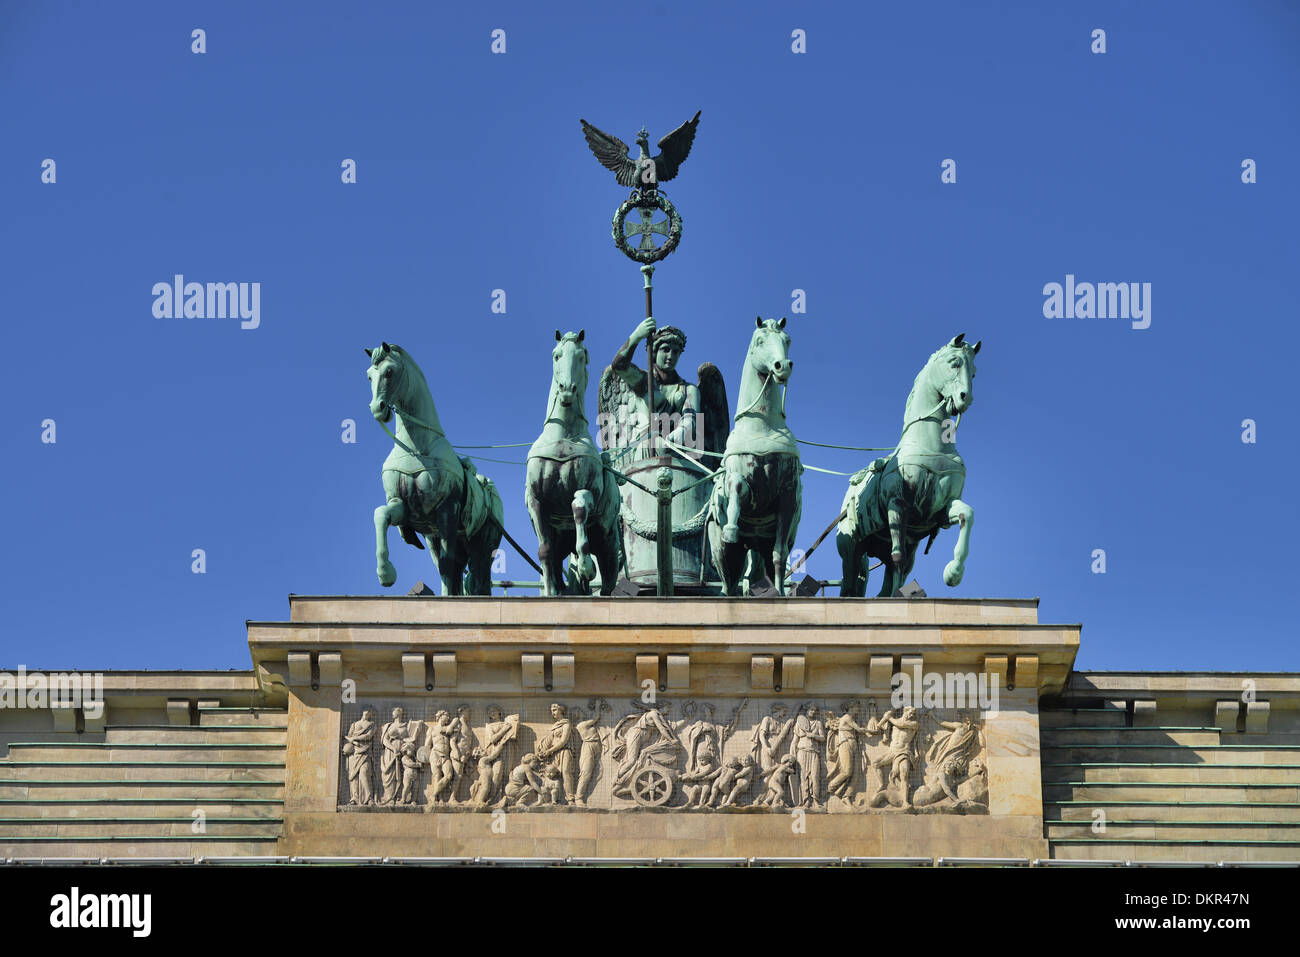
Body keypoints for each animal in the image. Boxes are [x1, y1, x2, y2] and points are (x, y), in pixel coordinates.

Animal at [371, 340, 506, 595]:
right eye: (368, 375)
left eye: (390, 371)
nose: (377, 408)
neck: (415, 448)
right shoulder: (403, 506)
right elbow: (381, 514)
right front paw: (386, 573)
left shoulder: (447, 511)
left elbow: (446, 566)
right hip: (443, 540)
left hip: (483, 546)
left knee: (476, 577)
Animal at [525, 332, 621, 595]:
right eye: (556, 355)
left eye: (582, 356)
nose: (567, 390)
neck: (563, 436)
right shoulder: (536, 501)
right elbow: (545, 552)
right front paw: (550, 593)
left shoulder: (588, 489)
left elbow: (578, 509)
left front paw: (586, 566)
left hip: (609, 547)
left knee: (608, 585)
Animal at [712, 317, 800, 595]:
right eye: (760, 341)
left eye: (787, 340)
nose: (782, 366)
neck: (762, 426)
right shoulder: (738, 479)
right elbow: (737, 486)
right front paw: (731, 527)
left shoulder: (787, 496)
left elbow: (779, 555)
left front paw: (780, 594)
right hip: (724, 553)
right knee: (728, 582)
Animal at [837, 332, 977, 595]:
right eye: (954, 362)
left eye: (973, 372)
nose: (965, 398)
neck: (931, 443)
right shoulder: (897, 504)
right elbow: (898, 558)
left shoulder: (940, 511)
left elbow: (967, 514)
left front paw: (954, 572)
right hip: (852, 549)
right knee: (850, 584)